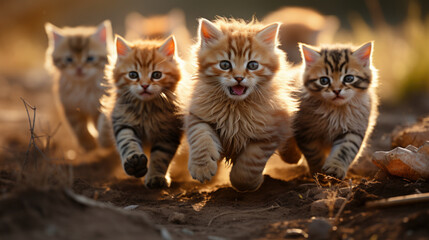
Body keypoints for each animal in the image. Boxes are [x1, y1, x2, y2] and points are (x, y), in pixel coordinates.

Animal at [45, 21, 113, 152]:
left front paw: (104, 141)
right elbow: (79, 128)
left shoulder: (101, 103)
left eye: (90, 58)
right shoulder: (70, 107)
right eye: (69, 59)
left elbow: (102, 121)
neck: (83, 88)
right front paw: (88, 144)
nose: (79, 68)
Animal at [186, 17, 296, 191]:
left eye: (252, 65)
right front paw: (202, 167)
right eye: (225, 65)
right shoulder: (199, 115)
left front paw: (253, 182)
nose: (238, 78)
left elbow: (247, 168)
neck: (235, 108)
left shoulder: (269, 133)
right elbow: (201, 138)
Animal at [290, 42, 378, 179]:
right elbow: (314, 154)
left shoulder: (353, 129)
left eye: (349, 78)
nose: (337, 90)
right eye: (324, 80)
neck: (335, 110)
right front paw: (319, 173)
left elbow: (344, 150)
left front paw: (335, 168)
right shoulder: (305, 132)